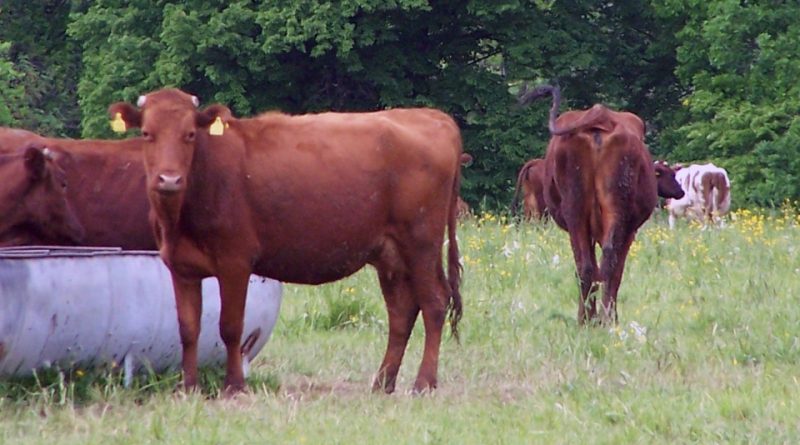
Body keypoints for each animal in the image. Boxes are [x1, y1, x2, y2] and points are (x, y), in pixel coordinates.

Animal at [109, 88, 466, 394]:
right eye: (147, 133)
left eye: (190, 134)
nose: (169, 179)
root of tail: (431, 116)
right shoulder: (180, 267)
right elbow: (187, 329)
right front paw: (189, 387)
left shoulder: (235, 262)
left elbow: (231, 326)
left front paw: (234, 386)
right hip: (390, 255)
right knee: (401, 312)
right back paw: (383, 382)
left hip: (421, 243)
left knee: (434, 302)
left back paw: (423, 382)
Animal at [520, 85, 684, 324]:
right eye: (669, 175)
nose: (681, 191)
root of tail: (601, 115)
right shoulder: (630, 230)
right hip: (614, 213)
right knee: (609, 262)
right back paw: (605, 318)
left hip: (576, 211)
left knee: (587, 266)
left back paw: (587, 319)